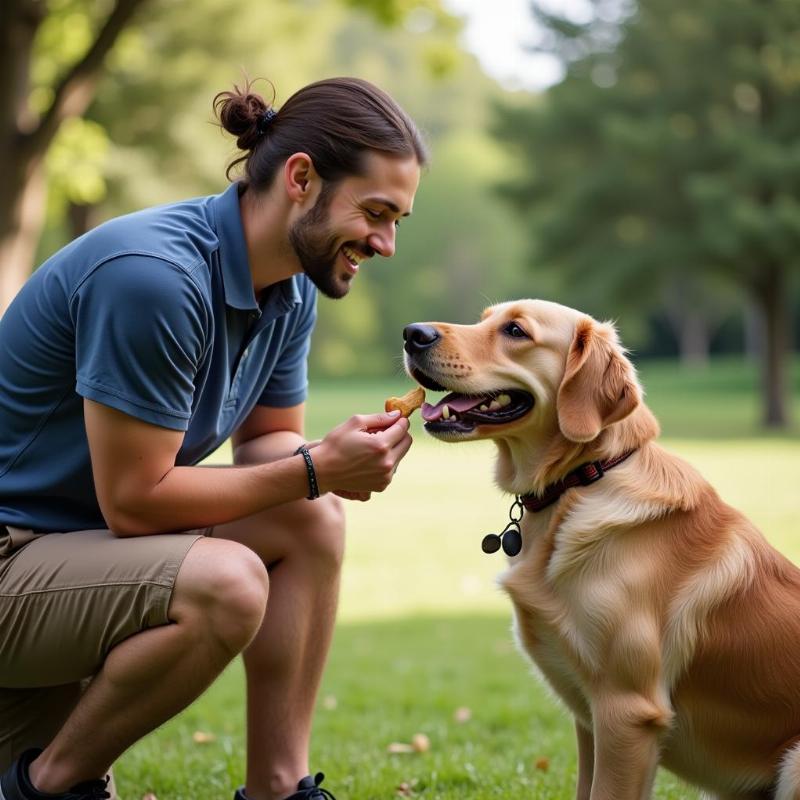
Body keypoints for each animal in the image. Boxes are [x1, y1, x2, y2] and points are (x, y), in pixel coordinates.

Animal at [404, 300, 800, 800]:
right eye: (483, 319)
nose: (412, 333)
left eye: (515, 331)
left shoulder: (625, 712)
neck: (585, 478)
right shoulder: (591, 719)